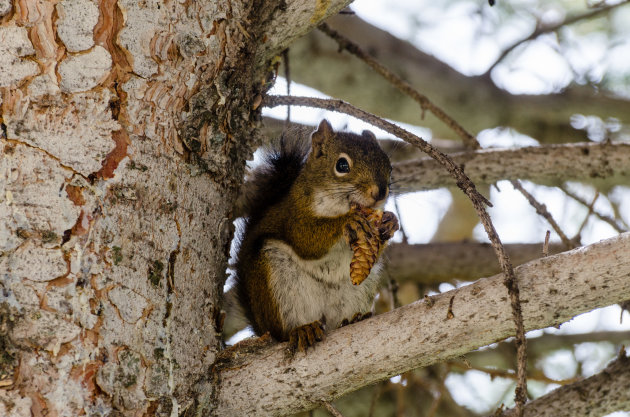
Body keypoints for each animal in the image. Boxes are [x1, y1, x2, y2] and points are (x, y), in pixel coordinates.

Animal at [235, 118, 398, 352]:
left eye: (389, 167)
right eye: (342, 165)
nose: (380, 192)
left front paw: (390, 223)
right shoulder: (294, 217)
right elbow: (306, 240)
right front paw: (347, 222)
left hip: (359, 290)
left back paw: (354, 319)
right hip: (278, 282)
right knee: (285, 331)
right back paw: (302, 330)